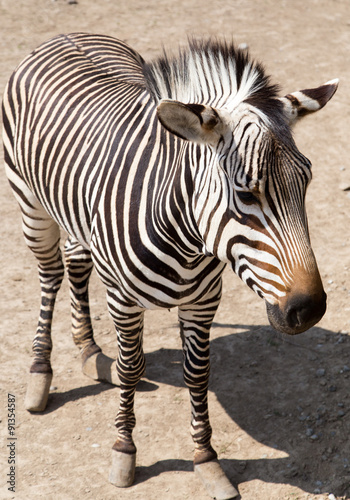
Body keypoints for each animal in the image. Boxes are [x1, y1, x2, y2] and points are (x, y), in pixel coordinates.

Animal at [1, 33, 338, 498]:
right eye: (246, 194)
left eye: (306, 182)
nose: (309, 309)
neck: (185, 239)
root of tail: (67, 36)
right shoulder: (122, 299)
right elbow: (132, 368)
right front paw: (124, 452)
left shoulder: (203, 302)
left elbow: (197, 374)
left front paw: (206, 459)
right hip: (30, 204)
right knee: (50, 275)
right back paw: (40, 373)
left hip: (74, 214)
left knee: (75, 261)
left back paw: (89, 350)